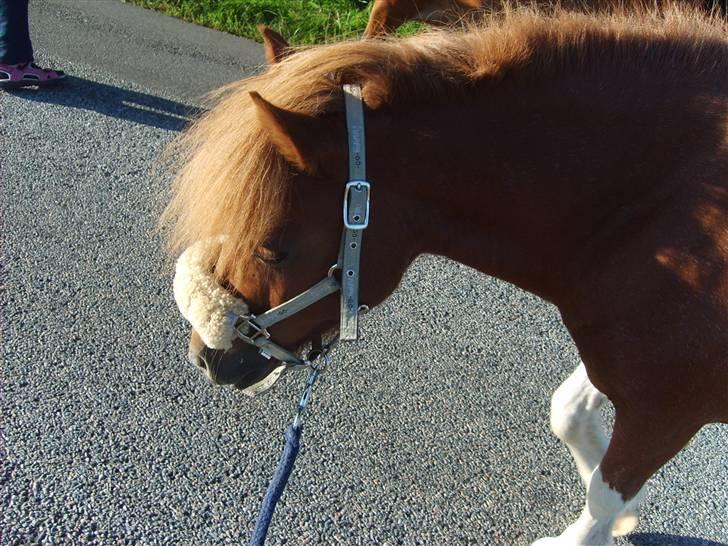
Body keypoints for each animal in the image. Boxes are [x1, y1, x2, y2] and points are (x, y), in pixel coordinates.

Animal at [164, 8, 728, 544]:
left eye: (272, 250)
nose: (205, 357)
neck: (656, 214)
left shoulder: (667, 405)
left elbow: (605, 494)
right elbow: (567, 412)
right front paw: (627, 515)